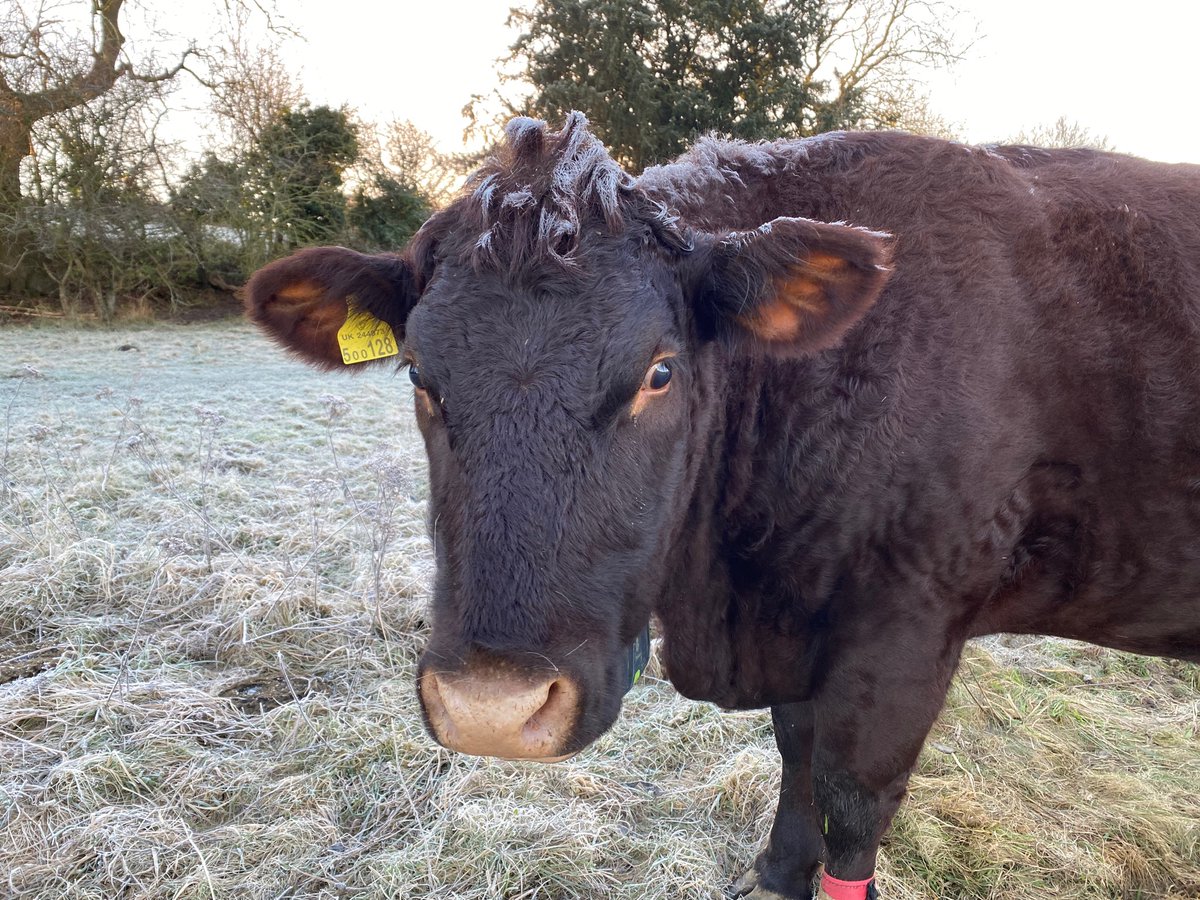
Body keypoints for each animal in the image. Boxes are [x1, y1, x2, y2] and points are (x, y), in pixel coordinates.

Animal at [246, 114, 1200, 900]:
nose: (493, 710)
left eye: (660, 372)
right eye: (418, 373)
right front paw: (777, 874)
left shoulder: (909, 630)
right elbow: (796, 754)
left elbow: (852, 803)